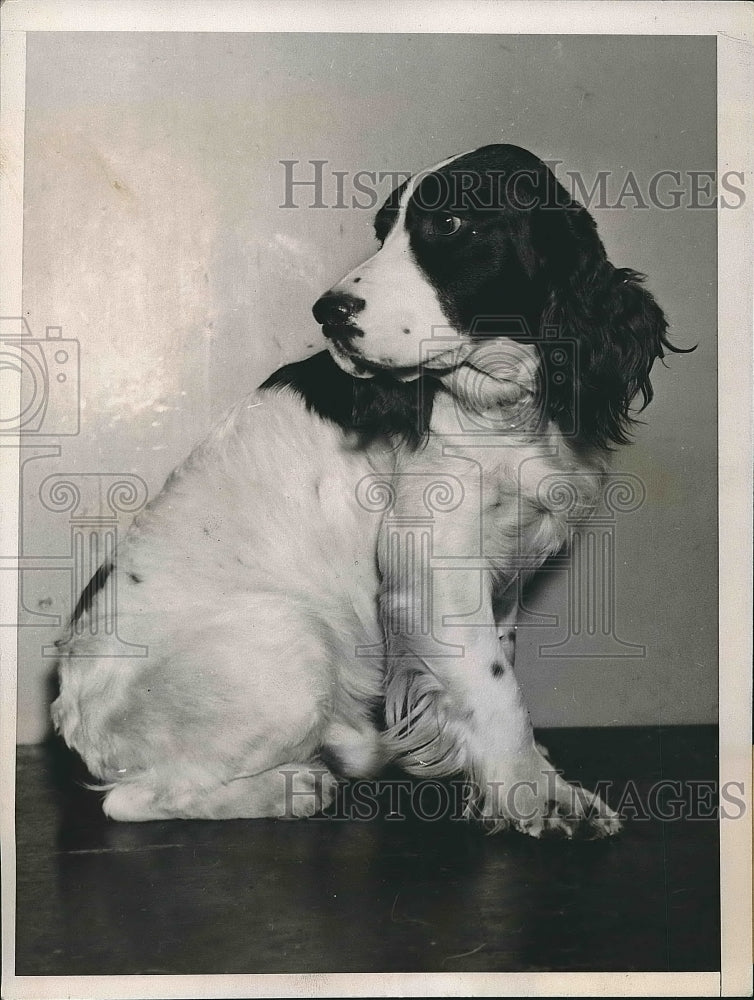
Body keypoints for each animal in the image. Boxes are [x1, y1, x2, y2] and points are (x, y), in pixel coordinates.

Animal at [50, 143, 680, 836]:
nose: (327, 312)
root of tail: (73, 717)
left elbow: (497, 669)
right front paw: (536, 795)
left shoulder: (504, 569)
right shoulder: (436, 565)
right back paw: (295, 788)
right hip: (291, 637)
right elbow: (497, 688)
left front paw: (526, 777)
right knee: (133, 799)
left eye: (450, 223)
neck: (503, 406)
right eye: (382, 233)